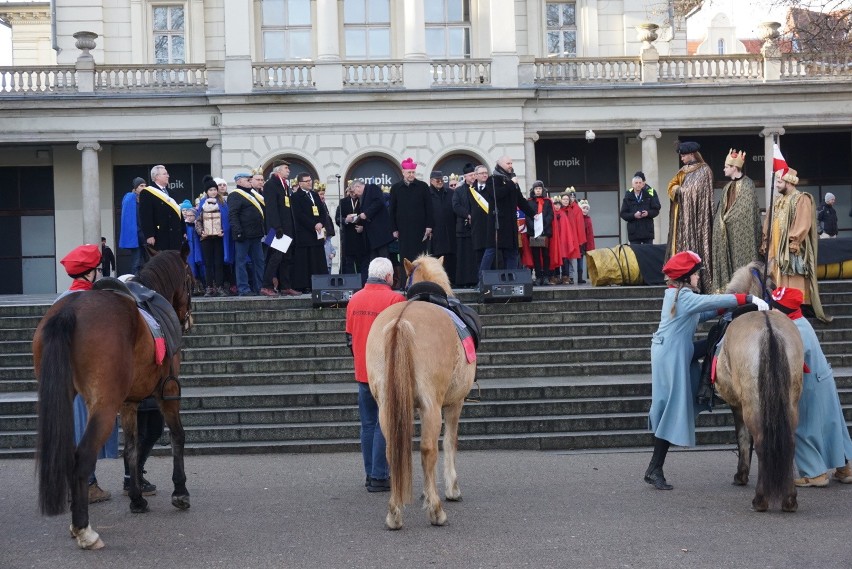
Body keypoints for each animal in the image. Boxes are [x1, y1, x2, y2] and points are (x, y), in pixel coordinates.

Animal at [33, 247, 193, 544]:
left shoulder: (128, 403)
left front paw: (137, 498)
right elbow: (177, 436)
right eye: (191, 279)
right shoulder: (168, 393)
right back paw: (83, 529)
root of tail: (69, 311)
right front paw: (180, 491)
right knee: (83, 455)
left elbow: (131, 448)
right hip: (105, 406)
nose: (187, 318)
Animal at [364, 254, 476, 528]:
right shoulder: (454, 403)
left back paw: (394, 512)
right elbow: (449, 443)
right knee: (428, 449)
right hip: (431, 405)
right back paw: (436, 511)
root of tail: (402, 320)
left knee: (391, 449)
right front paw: (451, 489)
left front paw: (426, 491)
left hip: (387, 405)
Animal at [716, 260, 804, 510]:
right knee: (790, 442)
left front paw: (741, 475)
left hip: (752, 402)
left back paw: (761, 499)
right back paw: (789, 499)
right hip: (789, 401)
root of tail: (769, 329)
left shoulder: (737, 404)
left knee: (762, 440)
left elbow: (744, 438)